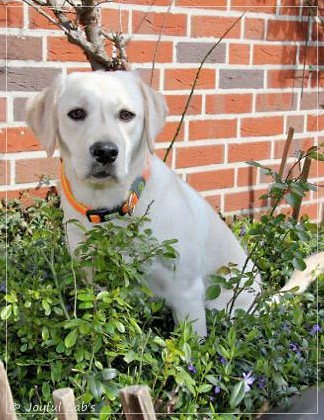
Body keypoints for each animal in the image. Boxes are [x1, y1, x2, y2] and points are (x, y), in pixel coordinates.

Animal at [26, 70, 322, 336]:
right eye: (76, 113)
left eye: (126, 115)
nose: (106, 152)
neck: (112, 206)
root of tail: (262, 301)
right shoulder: (93, 281)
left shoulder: (186, 291)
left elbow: (192, 349)